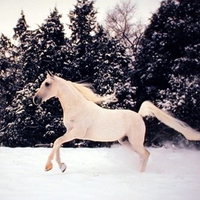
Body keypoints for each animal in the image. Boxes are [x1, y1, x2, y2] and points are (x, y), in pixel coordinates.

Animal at [33, 73, 200, 172]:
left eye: (47, 84)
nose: (35, 99)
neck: (77, 107)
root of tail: (139, 115)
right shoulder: (69, 131)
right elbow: (58, 143)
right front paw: (62, 167)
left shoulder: (77, 132)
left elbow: (57, 141)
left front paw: (48, 167)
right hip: (125, 141)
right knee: (143, 155)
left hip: (135, 141)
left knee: (145, 154)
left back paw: (140, 175)